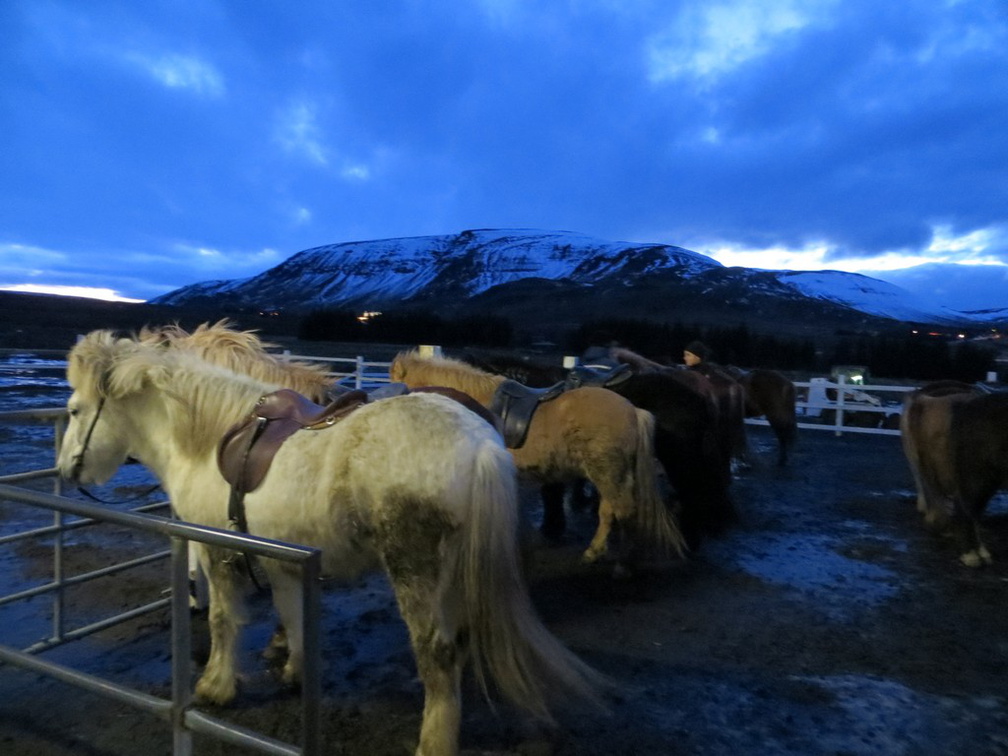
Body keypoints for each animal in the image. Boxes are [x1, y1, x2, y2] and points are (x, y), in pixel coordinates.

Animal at [57, 332, 604, 756]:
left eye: (75, 409)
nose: (66, 471)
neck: (209, 437)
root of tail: (481, 443)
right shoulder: (282, 558)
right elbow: (291, 612)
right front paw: (295, 670)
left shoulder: (217, 551)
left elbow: (222, 620)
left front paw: (216, 686)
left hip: (416, 572)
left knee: (439, 653)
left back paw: (433, 741)